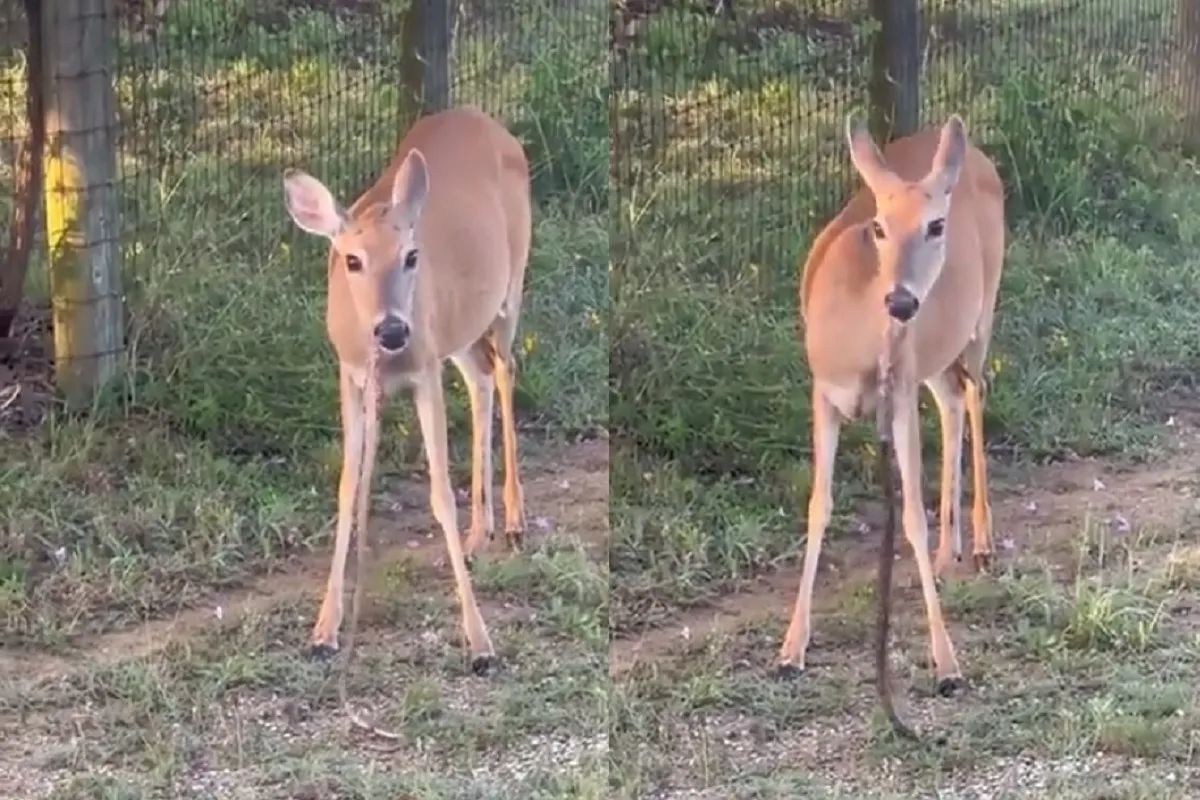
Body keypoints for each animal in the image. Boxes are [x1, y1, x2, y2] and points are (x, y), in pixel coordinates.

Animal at [280, 103, 530, 671]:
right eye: (351, 259)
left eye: (412, 256)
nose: (393, 330)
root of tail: (484, 118)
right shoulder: (352, 375)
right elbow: (348, 489)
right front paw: (325, 630)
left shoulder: (423, 371)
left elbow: (438, 494)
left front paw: (480, 642)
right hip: (457, 331)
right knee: (482, 375)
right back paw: (479, 532)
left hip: (511, 286)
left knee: (506, 369)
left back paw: (512, 519)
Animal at [777, 113, 1003, 700]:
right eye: (878, 227)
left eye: (937, 225)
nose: (901, 301)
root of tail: (974, 155)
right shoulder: (822, 392)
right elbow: (819, 504)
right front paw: (791, 649)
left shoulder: (897, 395)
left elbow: (911, 516)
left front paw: (947, 664)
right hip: (934, 356)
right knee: (952, 399)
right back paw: (951, 553)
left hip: (982, 313)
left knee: (975, 393)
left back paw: (982, 542)